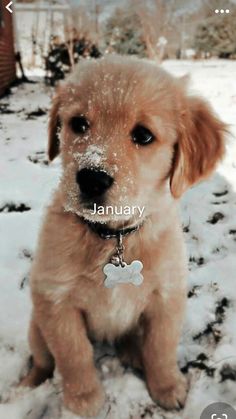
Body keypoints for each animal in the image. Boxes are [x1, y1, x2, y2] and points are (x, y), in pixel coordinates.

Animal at [21, 55, 226, 416]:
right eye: (78, 124)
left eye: (143, 135)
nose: (92, 179)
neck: (113, 238)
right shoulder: (54, 300)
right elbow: (73, 354)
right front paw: (84, 399)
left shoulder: (167, 297)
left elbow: (161, 347)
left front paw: (167, 387)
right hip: (36, 327)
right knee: (44, 360)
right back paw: (28, 383)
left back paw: (133, 353)